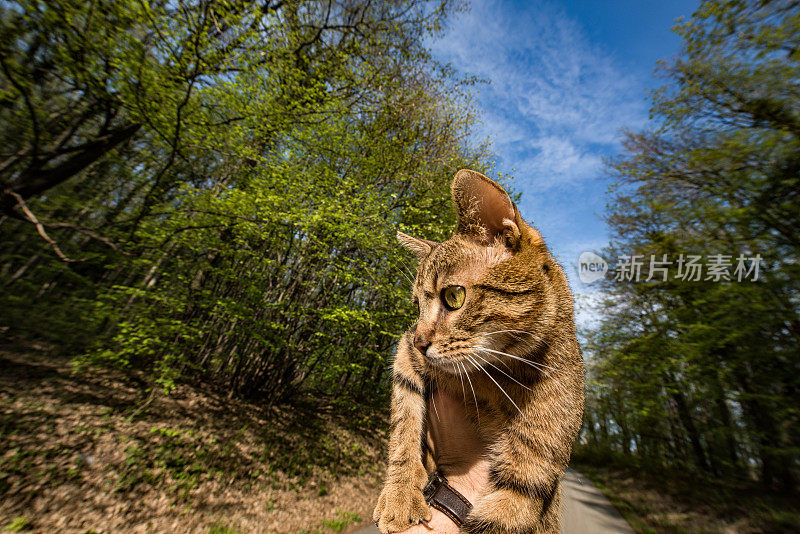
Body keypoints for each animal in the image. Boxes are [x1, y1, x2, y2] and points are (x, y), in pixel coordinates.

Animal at [372, 170, 584, 532]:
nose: (420, 342)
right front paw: (400, 492)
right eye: (416, 307)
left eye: (453, 297)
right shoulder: (404, 358)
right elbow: (405, 422)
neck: (495, 375)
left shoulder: (529, 478)